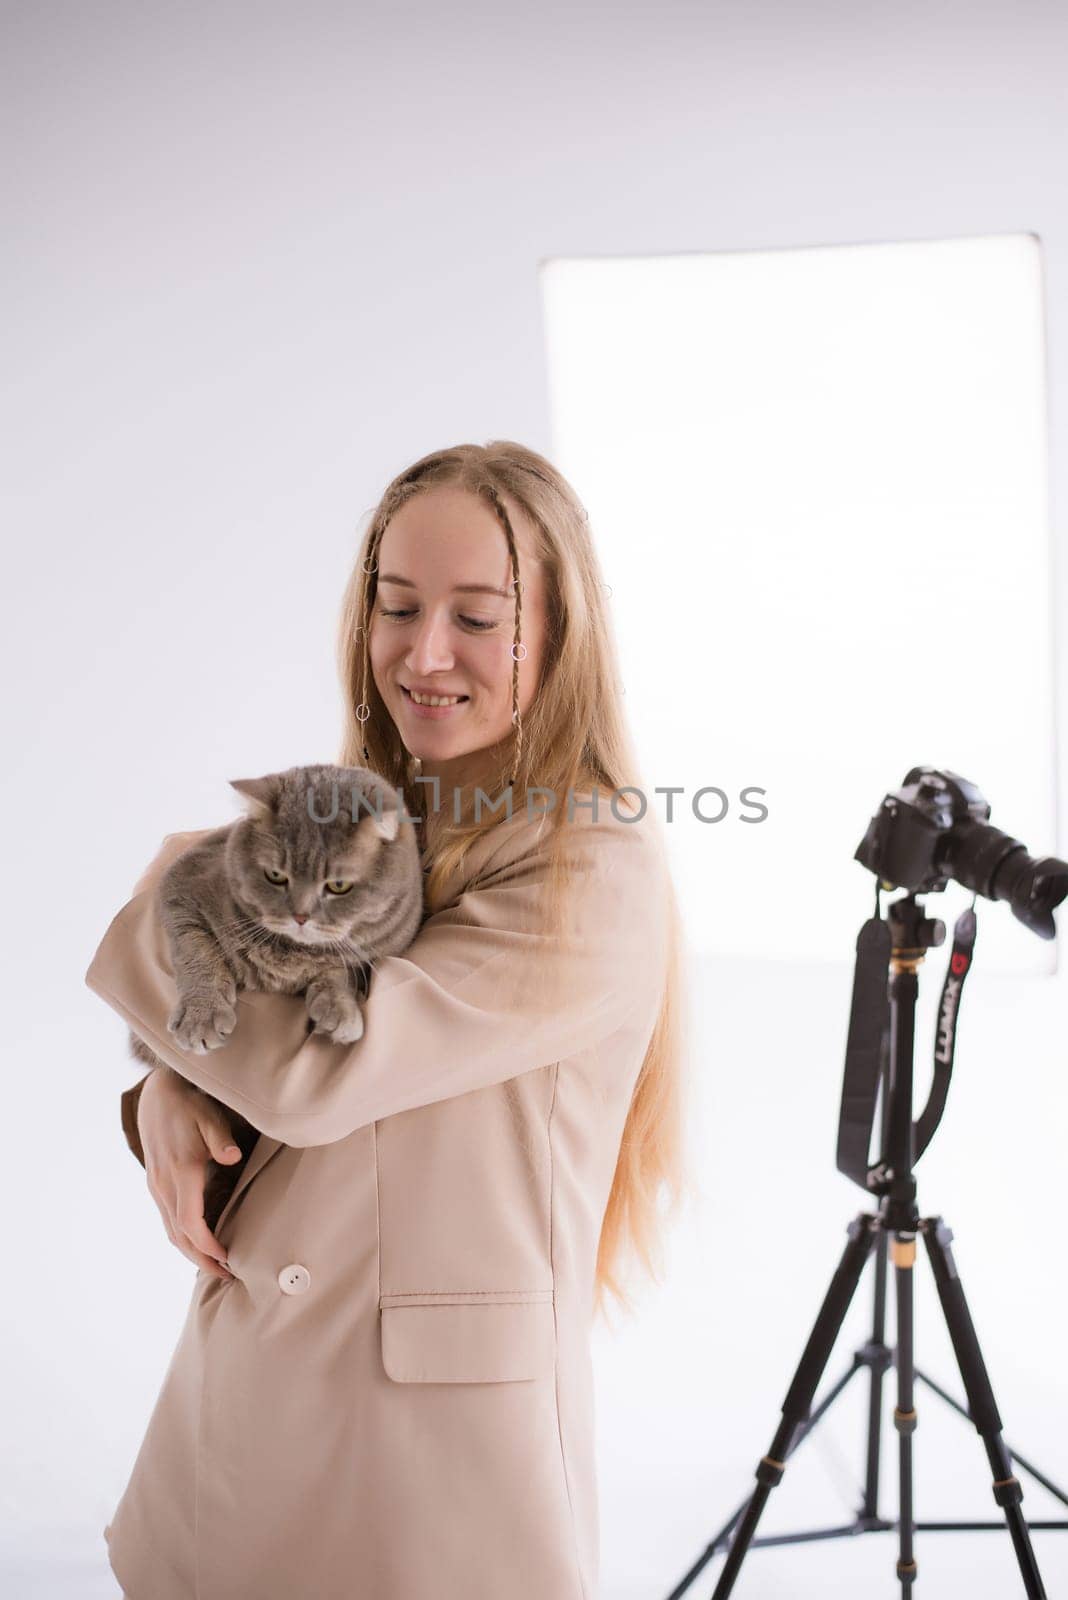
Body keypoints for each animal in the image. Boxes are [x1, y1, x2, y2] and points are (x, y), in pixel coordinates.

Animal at [134, 764, 428, 1222]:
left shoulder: (369, 956)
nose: (301, 915)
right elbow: (199, 953)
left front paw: (338, 1009)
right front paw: (203, 1016)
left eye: (338, 885)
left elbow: (339, 970)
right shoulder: (183, 888)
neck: (292, 952)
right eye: (276, 876)